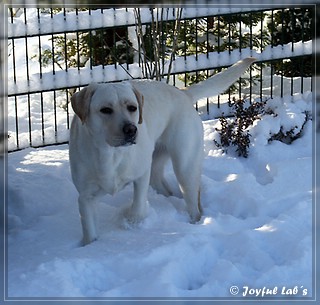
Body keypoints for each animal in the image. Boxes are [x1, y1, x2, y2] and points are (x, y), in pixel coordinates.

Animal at [69, 57, 255, 245]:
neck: (110, 154)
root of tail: (183, 92)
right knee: (167, 189)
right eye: (105, 110)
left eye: (132, 107)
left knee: (194, 203)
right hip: (157, 167)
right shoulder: (85, 197)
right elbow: (89, 230)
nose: (131, 130)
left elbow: (138, 206)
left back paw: (194, 225)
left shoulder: (141, 175)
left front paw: (133, 222)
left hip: (185, 167)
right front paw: (91, 246)